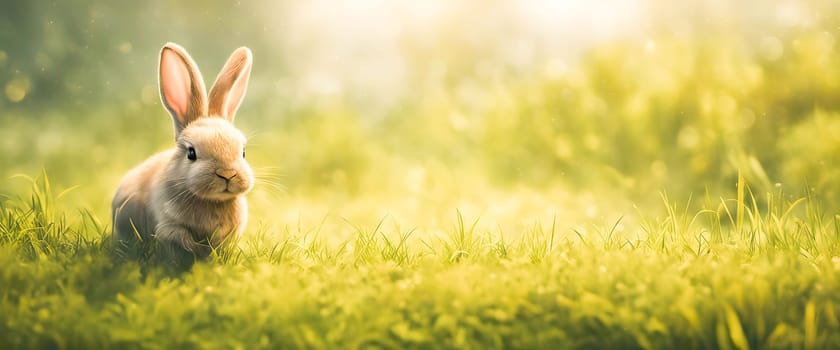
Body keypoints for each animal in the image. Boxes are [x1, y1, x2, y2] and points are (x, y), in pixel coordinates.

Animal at [112, 43, 256, 262]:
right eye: (191, 153)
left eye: (243, 152)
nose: (227, 174)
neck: (211, 201)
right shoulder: (169, 225)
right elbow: (182, 240)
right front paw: (198, 254)